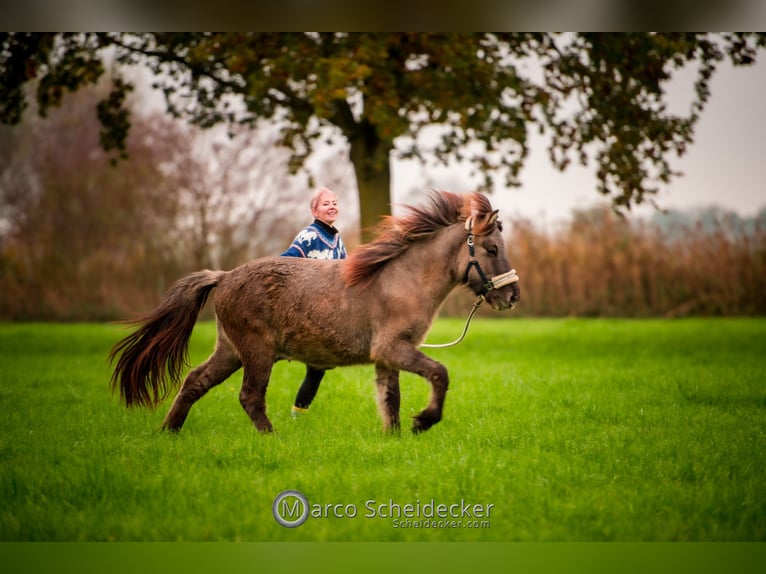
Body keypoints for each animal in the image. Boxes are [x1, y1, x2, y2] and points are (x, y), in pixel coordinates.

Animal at [109, 191, 520, 434]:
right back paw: (272, 437)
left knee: (195, 382)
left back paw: (170, 430)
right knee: (249, 396)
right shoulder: (394, 349)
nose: (512, 296)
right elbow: (439, 374)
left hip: (230, 351)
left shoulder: (387, 357)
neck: (402, 280)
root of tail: (223, 277)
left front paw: (396, 436)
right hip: (257, 352)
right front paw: (424, 422)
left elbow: (391, 400)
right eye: (491, 248)